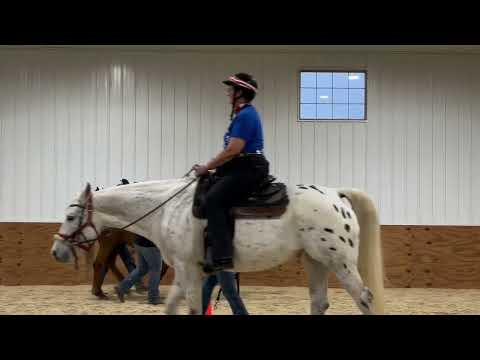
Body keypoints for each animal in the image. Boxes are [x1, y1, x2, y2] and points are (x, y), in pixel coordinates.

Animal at [49, 178, 386, 316]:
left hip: (340, 263)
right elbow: (172, 306)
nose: (56, 252)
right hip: (315, 261)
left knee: (365, 299)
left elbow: (194, 307)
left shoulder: (189, 271)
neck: (167, 207)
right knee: (319, 303)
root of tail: (336, 195)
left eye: (70, 216)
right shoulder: (186, 271)